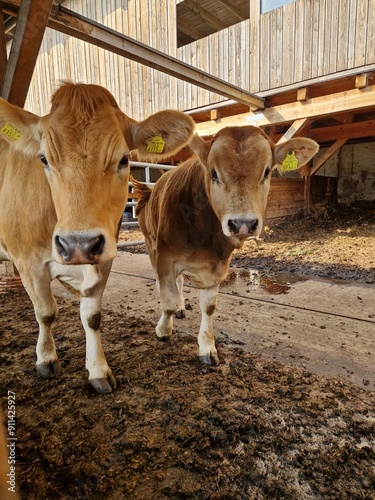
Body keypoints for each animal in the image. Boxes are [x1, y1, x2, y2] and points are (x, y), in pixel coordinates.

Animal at [0, 82, 194, 392]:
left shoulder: (102, 259)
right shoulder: (27, 261)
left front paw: (98, 371)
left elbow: (92, 317)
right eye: (43, 159)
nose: (77, 244)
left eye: (124, 158)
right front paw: (46, 359)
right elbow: (45, 312)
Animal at [134, 127, 318, 366]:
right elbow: (168, 302)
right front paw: (163, 330)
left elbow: (208, 307)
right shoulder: (165, 257)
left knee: (180, 282)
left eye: (267, 172)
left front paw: (207, 347)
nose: (242, 223)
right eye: (214, 174)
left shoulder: (218, 265)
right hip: (149, 242)